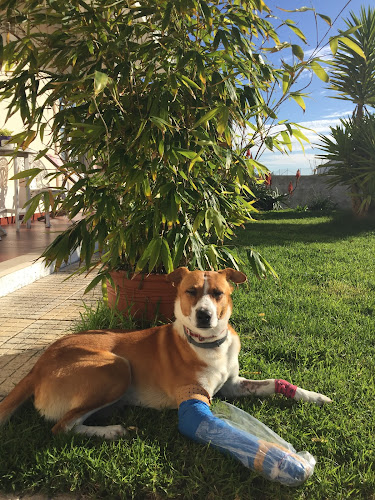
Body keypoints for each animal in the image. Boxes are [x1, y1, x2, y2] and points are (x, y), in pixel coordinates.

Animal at [0, 266, 332, 438]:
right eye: (190, 291)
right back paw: (111, 430)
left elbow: (275, 383)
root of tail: (38, 365)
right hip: (116, 368)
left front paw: (314, 396)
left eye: (217, 293)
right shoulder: (196, 396)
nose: (204, 316)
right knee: (61, 427)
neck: (209, 344)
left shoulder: (234, 385)